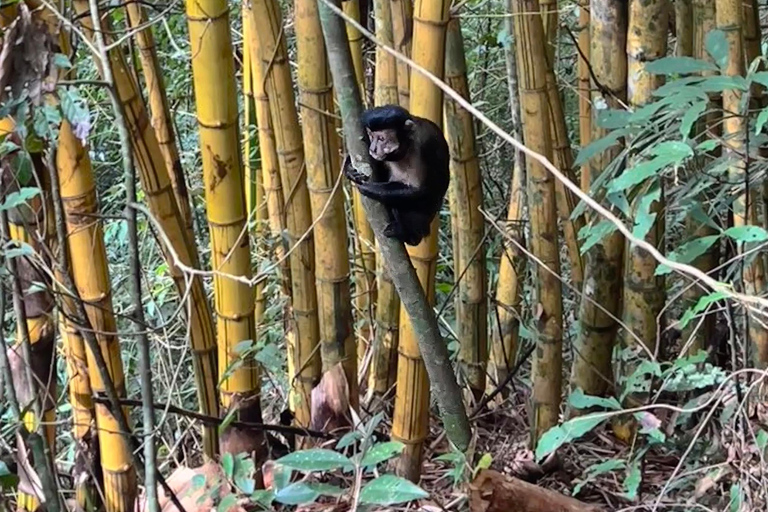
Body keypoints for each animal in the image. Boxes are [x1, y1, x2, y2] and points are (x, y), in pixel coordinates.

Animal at [344, 103, 450, 246]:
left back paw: (408, 235)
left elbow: (423, 191)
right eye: (371, 136)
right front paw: (349, 169)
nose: (373, 149)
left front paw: (369, 188)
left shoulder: (427, 142)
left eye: (381, 138)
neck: (407, 145)